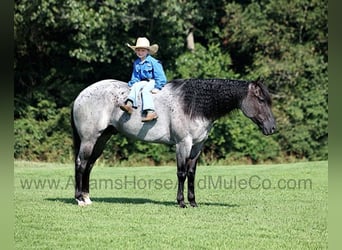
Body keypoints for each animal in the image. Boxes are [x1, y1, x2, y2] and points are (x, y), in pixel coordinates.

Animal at [71, 78, 276, 207]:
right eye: (260, 99)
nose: (272, 128)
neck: (193, 104)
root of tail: (80, 95)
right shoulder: (183, 144)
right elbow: (181, 173)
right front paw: (181, 202)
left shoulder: (197, 146)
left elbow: (192, 173)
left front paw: (193, 202)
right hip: (89, 139)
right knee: (81, 164)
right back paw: (80, 199)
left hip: (102, 138)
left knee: (89, 165)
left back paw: (87, 197)